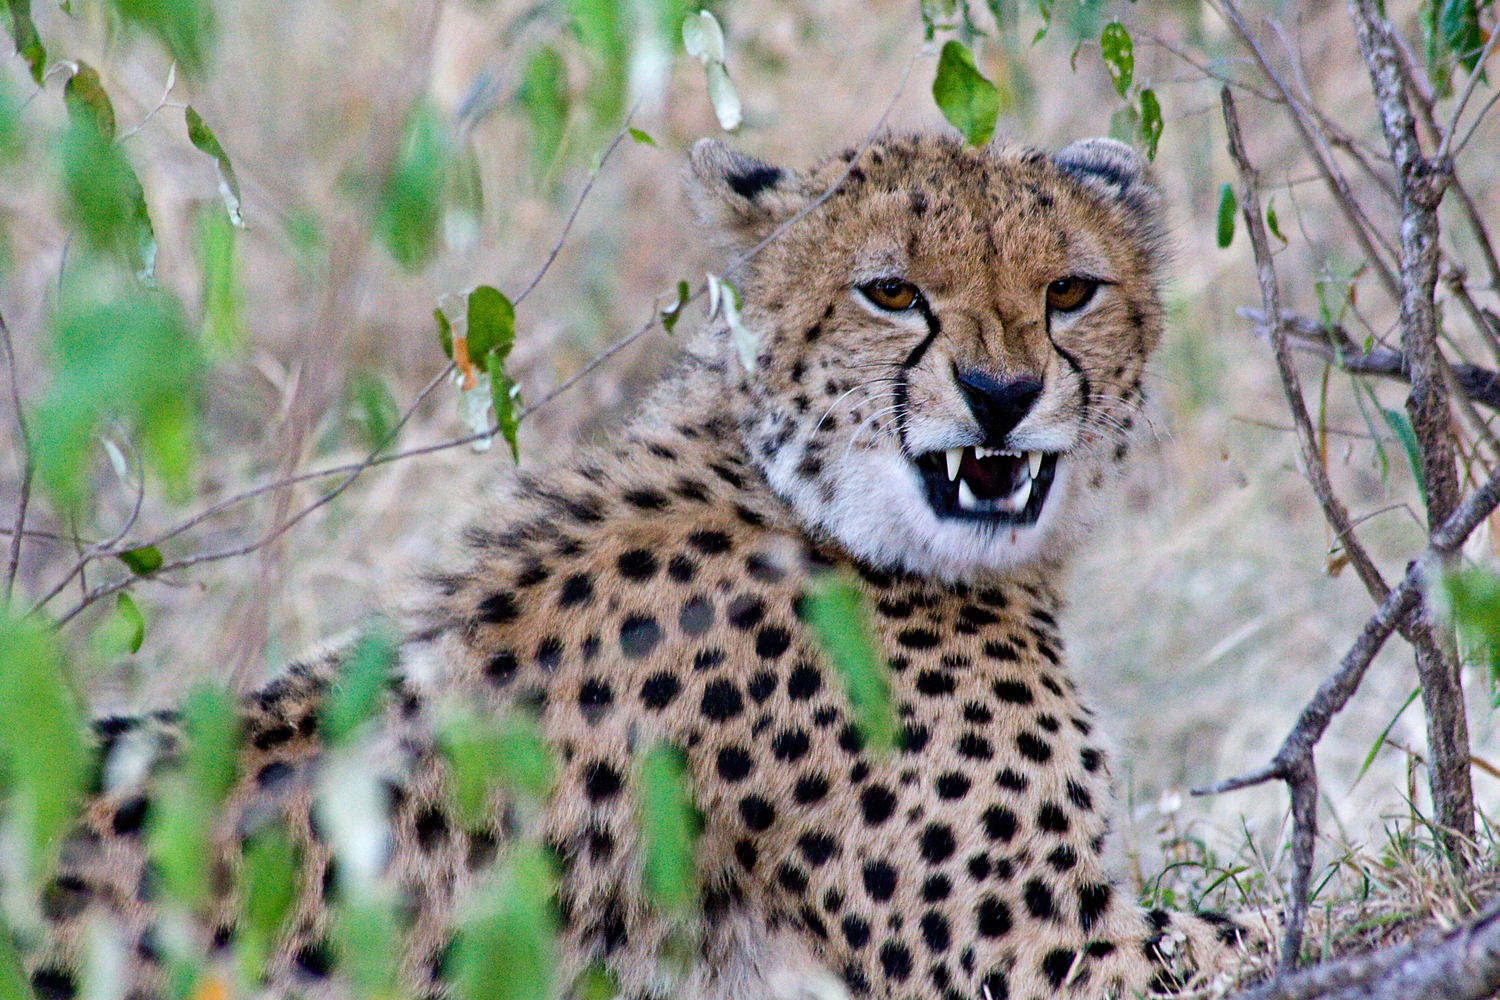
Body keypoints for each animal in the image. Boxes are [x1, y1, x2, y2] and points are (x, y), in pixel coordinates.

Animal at [16, 134, 1263, 1000]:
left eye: (1070, 292)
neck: (809, 502)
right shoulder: (1048, 953)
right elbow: (1250, 928)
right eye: (893, 292)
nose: (1001, 395)